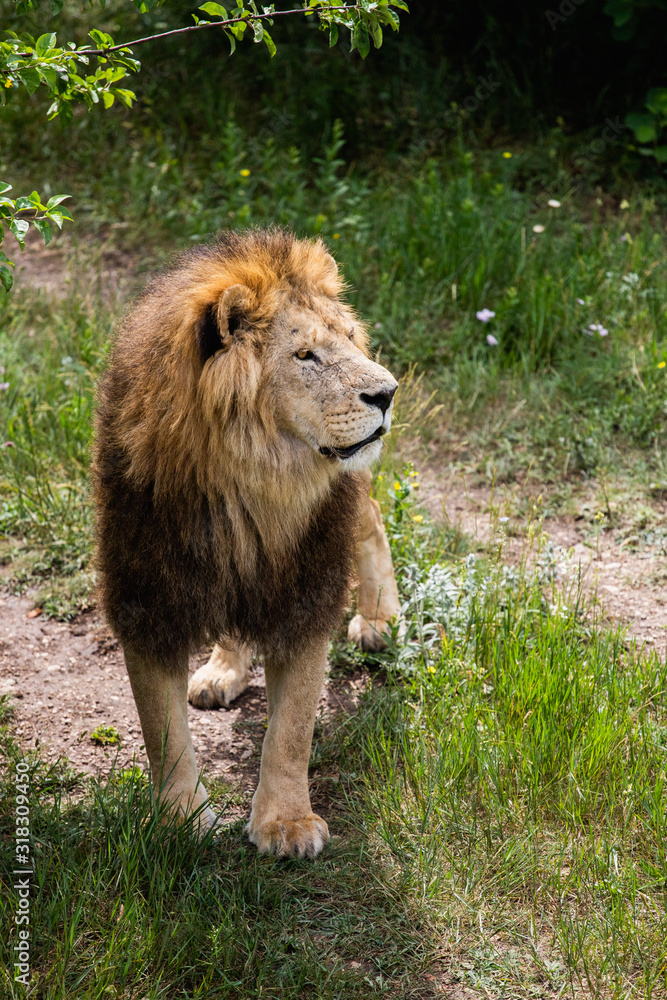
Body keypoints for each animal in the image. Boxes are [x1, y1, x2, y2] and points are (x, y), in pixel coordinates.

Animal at [93, 228, 400, 858]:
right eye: (304, 356)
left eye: (349, 338)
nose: (386, 392)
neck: (251, 486)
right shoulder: (146, 595)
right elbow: (162, 732)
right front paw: (180, 822)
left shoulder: (306, 591)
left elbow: (292, 728)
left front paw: (285, 824)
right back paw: (222, 671)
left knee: (372, 514)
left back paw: (379, 617)